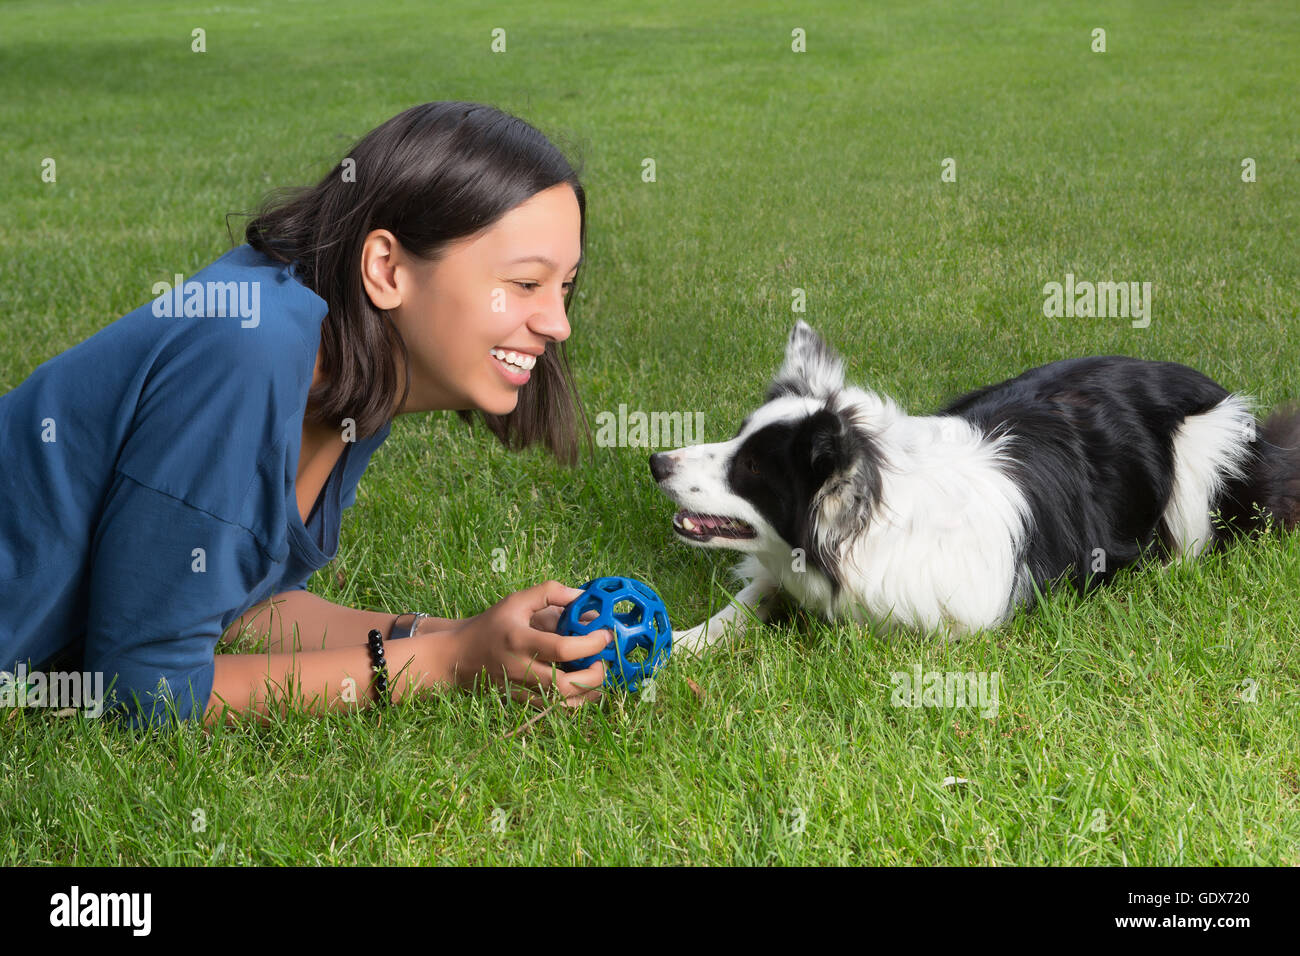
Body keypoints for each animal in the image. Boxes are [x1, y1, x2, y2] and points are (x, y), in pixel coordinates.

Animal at [655, 319, 1300, 650]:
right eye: (737, 440)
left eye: (750, 469)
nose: (657, 463)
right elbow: (745, 600)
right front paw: (681, 644)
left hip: (1205, 455)